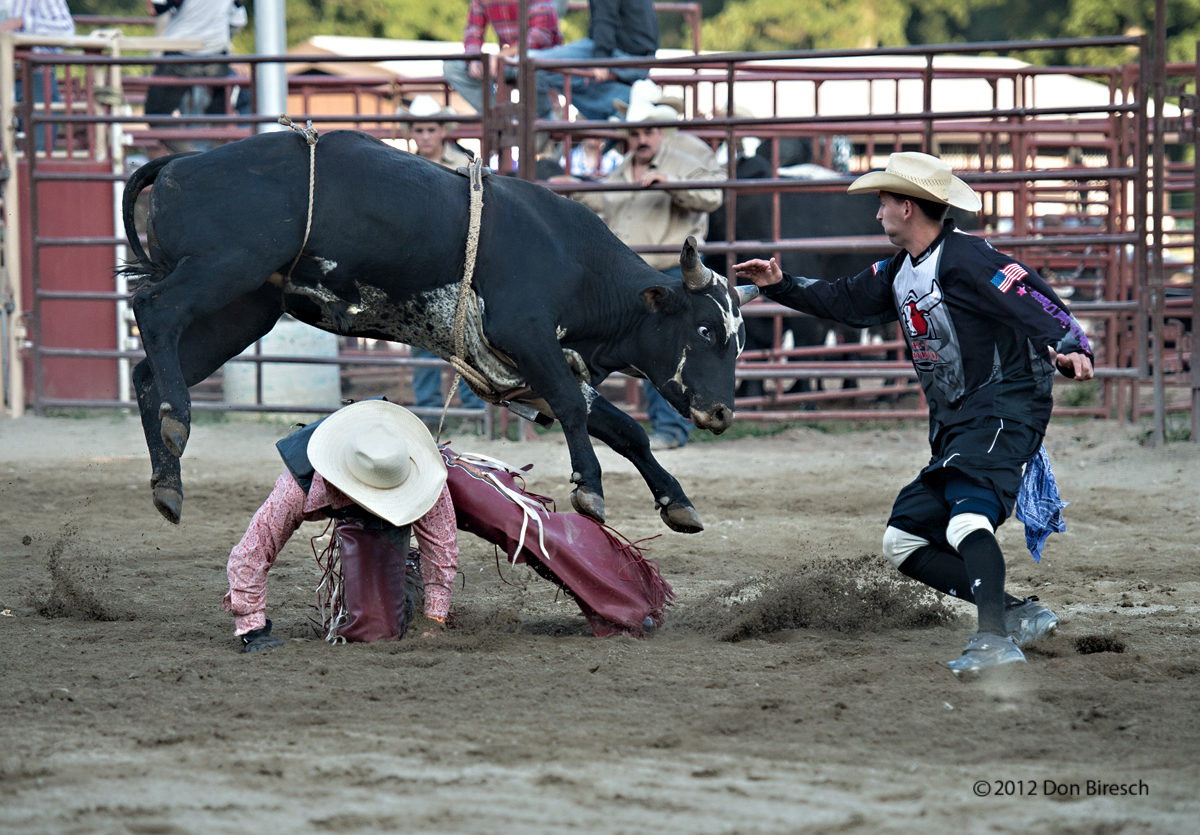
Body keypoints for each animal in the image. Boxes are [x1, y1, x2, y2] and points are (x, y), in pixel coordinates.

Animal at [124, 130, 758, 535]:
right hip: (224, 270)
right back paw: (178, 419)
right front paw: (591, 489)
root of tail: (180, 165)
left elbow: (626, 429)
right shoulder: (529, 337)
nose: (721, 412)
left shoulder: (536, 365)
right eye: (705, 330)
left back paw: (167, 481)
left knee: (147, 369)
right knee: (153, 310)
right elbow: (575, 411)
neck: (576, 263)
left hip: (242, 308)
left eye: (740, 340)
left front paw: (676, 502)